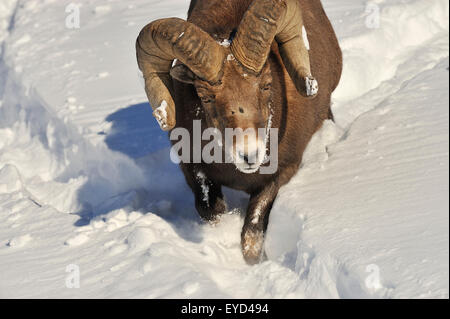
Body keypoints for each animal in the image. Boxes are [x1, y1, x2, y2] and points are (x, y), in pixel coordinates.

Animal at [136, 0, 342, 264]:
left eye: (266, 85)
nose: (249, 155)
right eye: (206, 97)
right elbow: (211, 211)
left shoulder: (282, 173)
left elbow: (251, 233)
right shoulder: (193, 168)